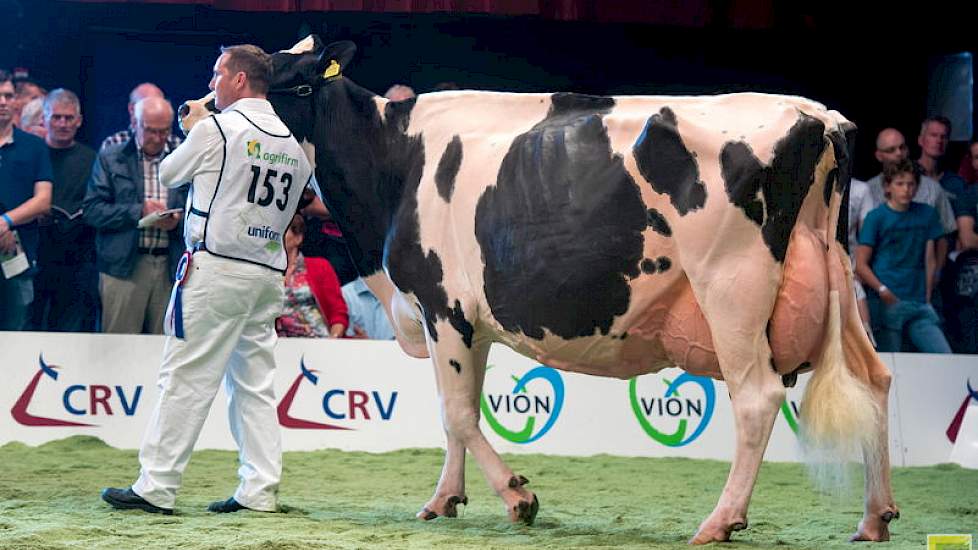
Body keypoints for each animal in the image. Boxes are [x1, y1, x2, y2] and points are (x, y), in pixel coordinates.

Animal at [179, 36, 896, 544]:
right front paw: (445, 499)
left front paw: (518, 498)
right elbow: (456, 413)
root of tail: (816, 115)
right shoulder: (466, 320)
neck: (391, 159)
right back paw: (874, 517)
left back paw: (720, 521)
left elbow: (459, 414)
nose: (191, 106)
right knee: (875, 381)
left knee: (757, 398)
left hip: (732, 286)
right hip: (837, 279)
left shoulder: (441, 305)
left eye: (279, 73)